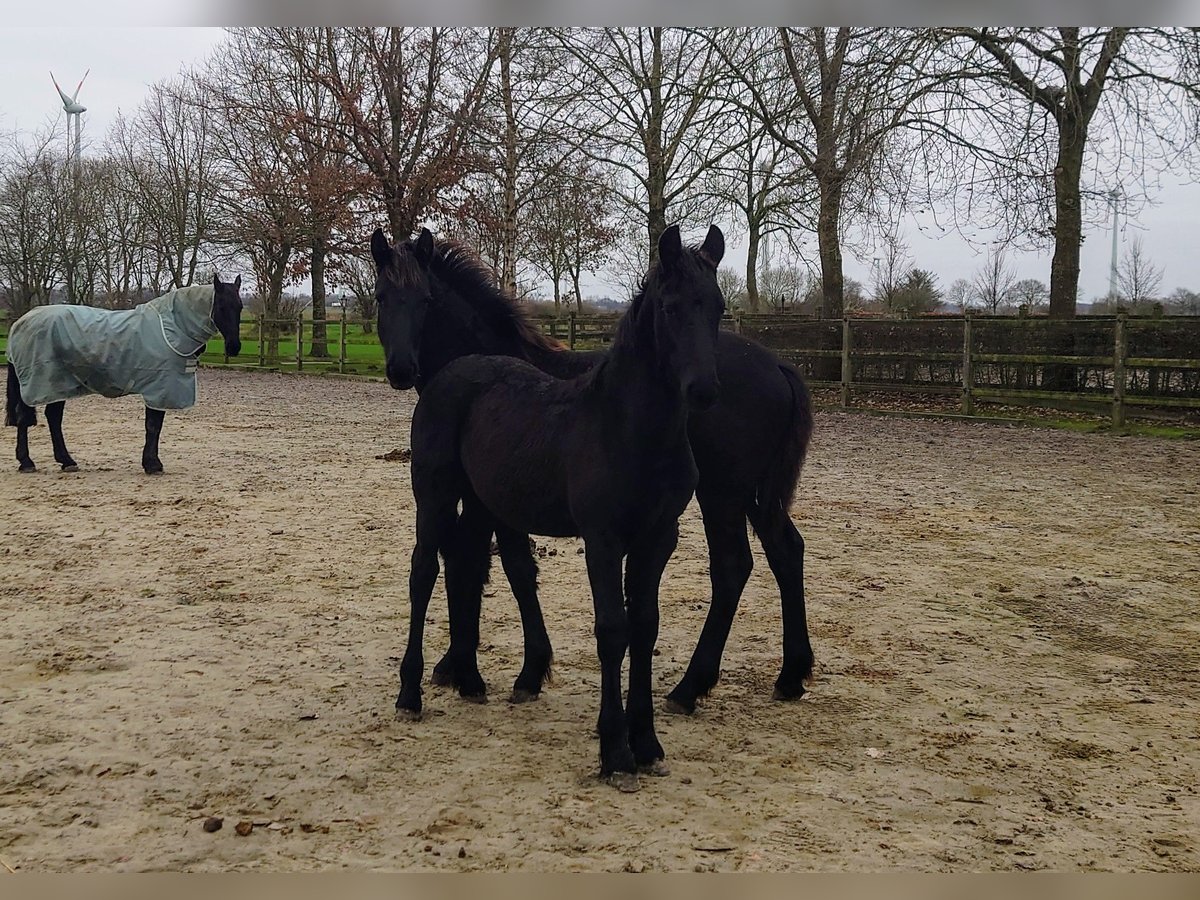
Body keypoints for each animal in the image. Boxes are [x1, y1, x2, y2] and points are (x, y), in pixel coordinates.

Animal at [4, 274, 243, 475]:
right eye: (221, 306)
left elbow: (154, 426)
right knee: (26, 417)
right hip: (44, 382)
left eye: (240, 307)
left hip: (59, 384)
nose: (234, 347)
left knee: (53, 418)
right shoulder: (158, 387)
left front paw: (150, 462)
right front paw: (152, 464)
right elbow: (153, 426)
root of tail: (20, 323)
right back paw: (27, 462)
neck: (172, 328)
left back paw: (66, 461)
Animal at [372, 229, 816, 715]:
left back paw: (690, 687)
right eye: (382, 297)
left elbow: (507, 568)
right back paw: (791, 675)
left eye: (426, 300)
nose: (401, 369)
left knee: (733, 566)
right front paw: (461, 666)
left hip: (723, 493)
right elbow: (474, 564)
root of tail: (777, 364)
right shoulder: (489, 499)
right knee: (786, 550)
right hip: (755, 495)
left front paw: (518, 670)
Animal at [398, 225, 724, 787]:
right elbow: (612, 630)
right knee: (423, 573)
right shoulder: (603, 538)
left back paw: (468, 680)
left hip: (481, 501)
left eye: (719, 306)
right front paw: (615, 751)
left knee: (463, 565)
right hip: (434, 494)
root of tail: (452, 369)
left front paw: (647, 742)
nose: (703, 390)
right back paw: (410, 693)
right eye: (671, 307)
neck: (630, 430)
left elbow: (646, 627)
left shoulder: (659, 537)